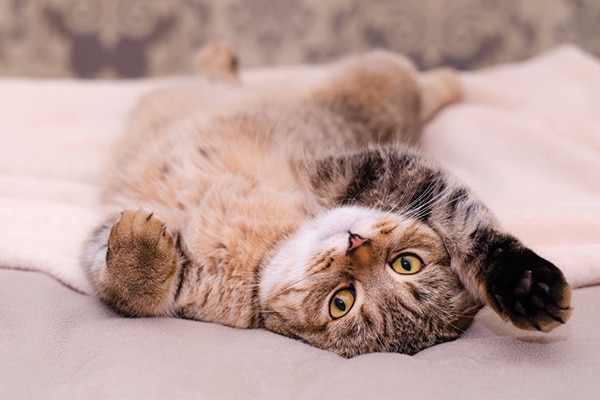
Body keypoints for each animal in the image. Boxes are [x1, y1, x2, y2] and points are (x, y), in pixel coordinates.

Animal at [81, 43, 572, 356]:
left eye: (341, 302)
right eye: (408, 263)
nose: (356, 244)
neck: (267, 247)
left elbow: (131, 294)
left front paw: (140, 247)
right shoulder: (368, 166)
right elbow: (469, 227)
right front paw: (524, 284)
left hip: (378, 81)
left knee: (421, 87)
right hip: (372, 85)